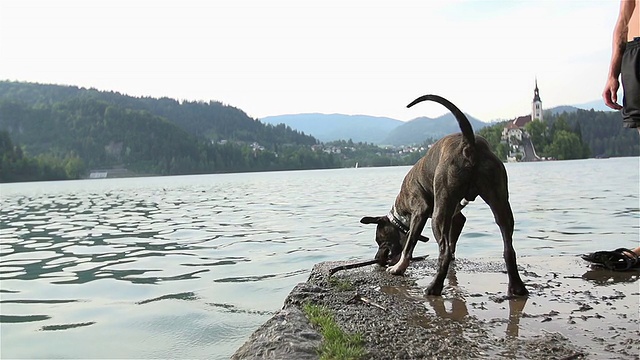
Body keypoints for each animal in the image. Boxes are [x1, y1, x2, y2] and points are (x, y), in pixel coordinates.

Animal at [360, 94, 528, 296]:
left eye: (380, 240)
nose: (377, 259)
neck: (401, 213)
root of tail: (468, 144)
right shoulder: (456, 217)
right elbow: (452, 239)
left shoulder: (419, 213)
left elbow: (410, 245)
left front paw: (399, 267)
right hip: (499, 200)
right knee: (508, 247)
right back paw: (517, 287)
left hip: (438, 215)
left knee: (444, 251)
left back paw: (434, 287)